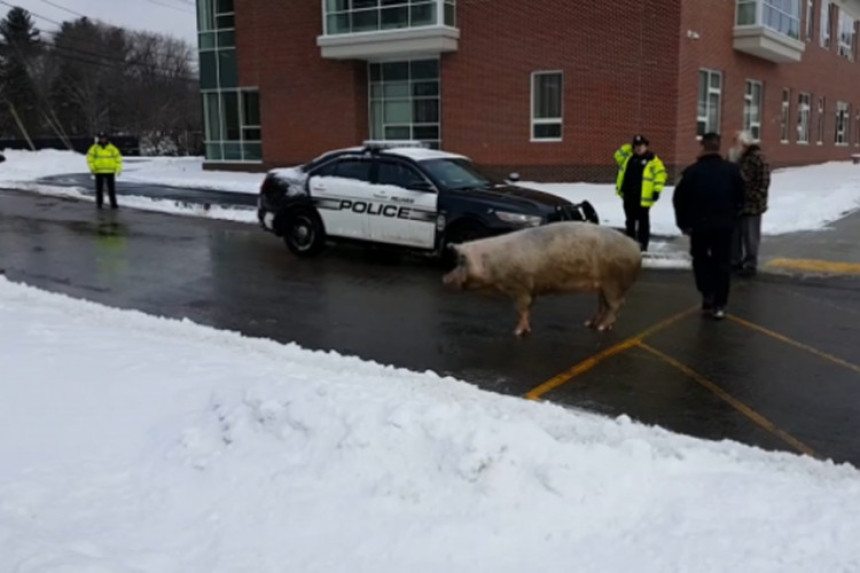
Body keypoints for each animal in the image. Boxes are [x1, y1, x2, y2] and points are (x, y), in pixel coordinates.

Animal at [444, 219, 640, 336]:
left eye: (461, 263)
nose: (444, 279)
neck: (491, 264)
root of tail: (636, 247)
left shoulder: (519, 286)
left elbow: (521, 308)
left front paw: (517, 332)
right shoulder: (530, 289)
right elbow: (529, 308)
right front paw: (526, 329)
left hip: (615, 282)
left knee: (616, 305)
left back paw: (601, 328)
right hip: (603, 285)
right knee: (603, 305)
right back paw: (589, 323)